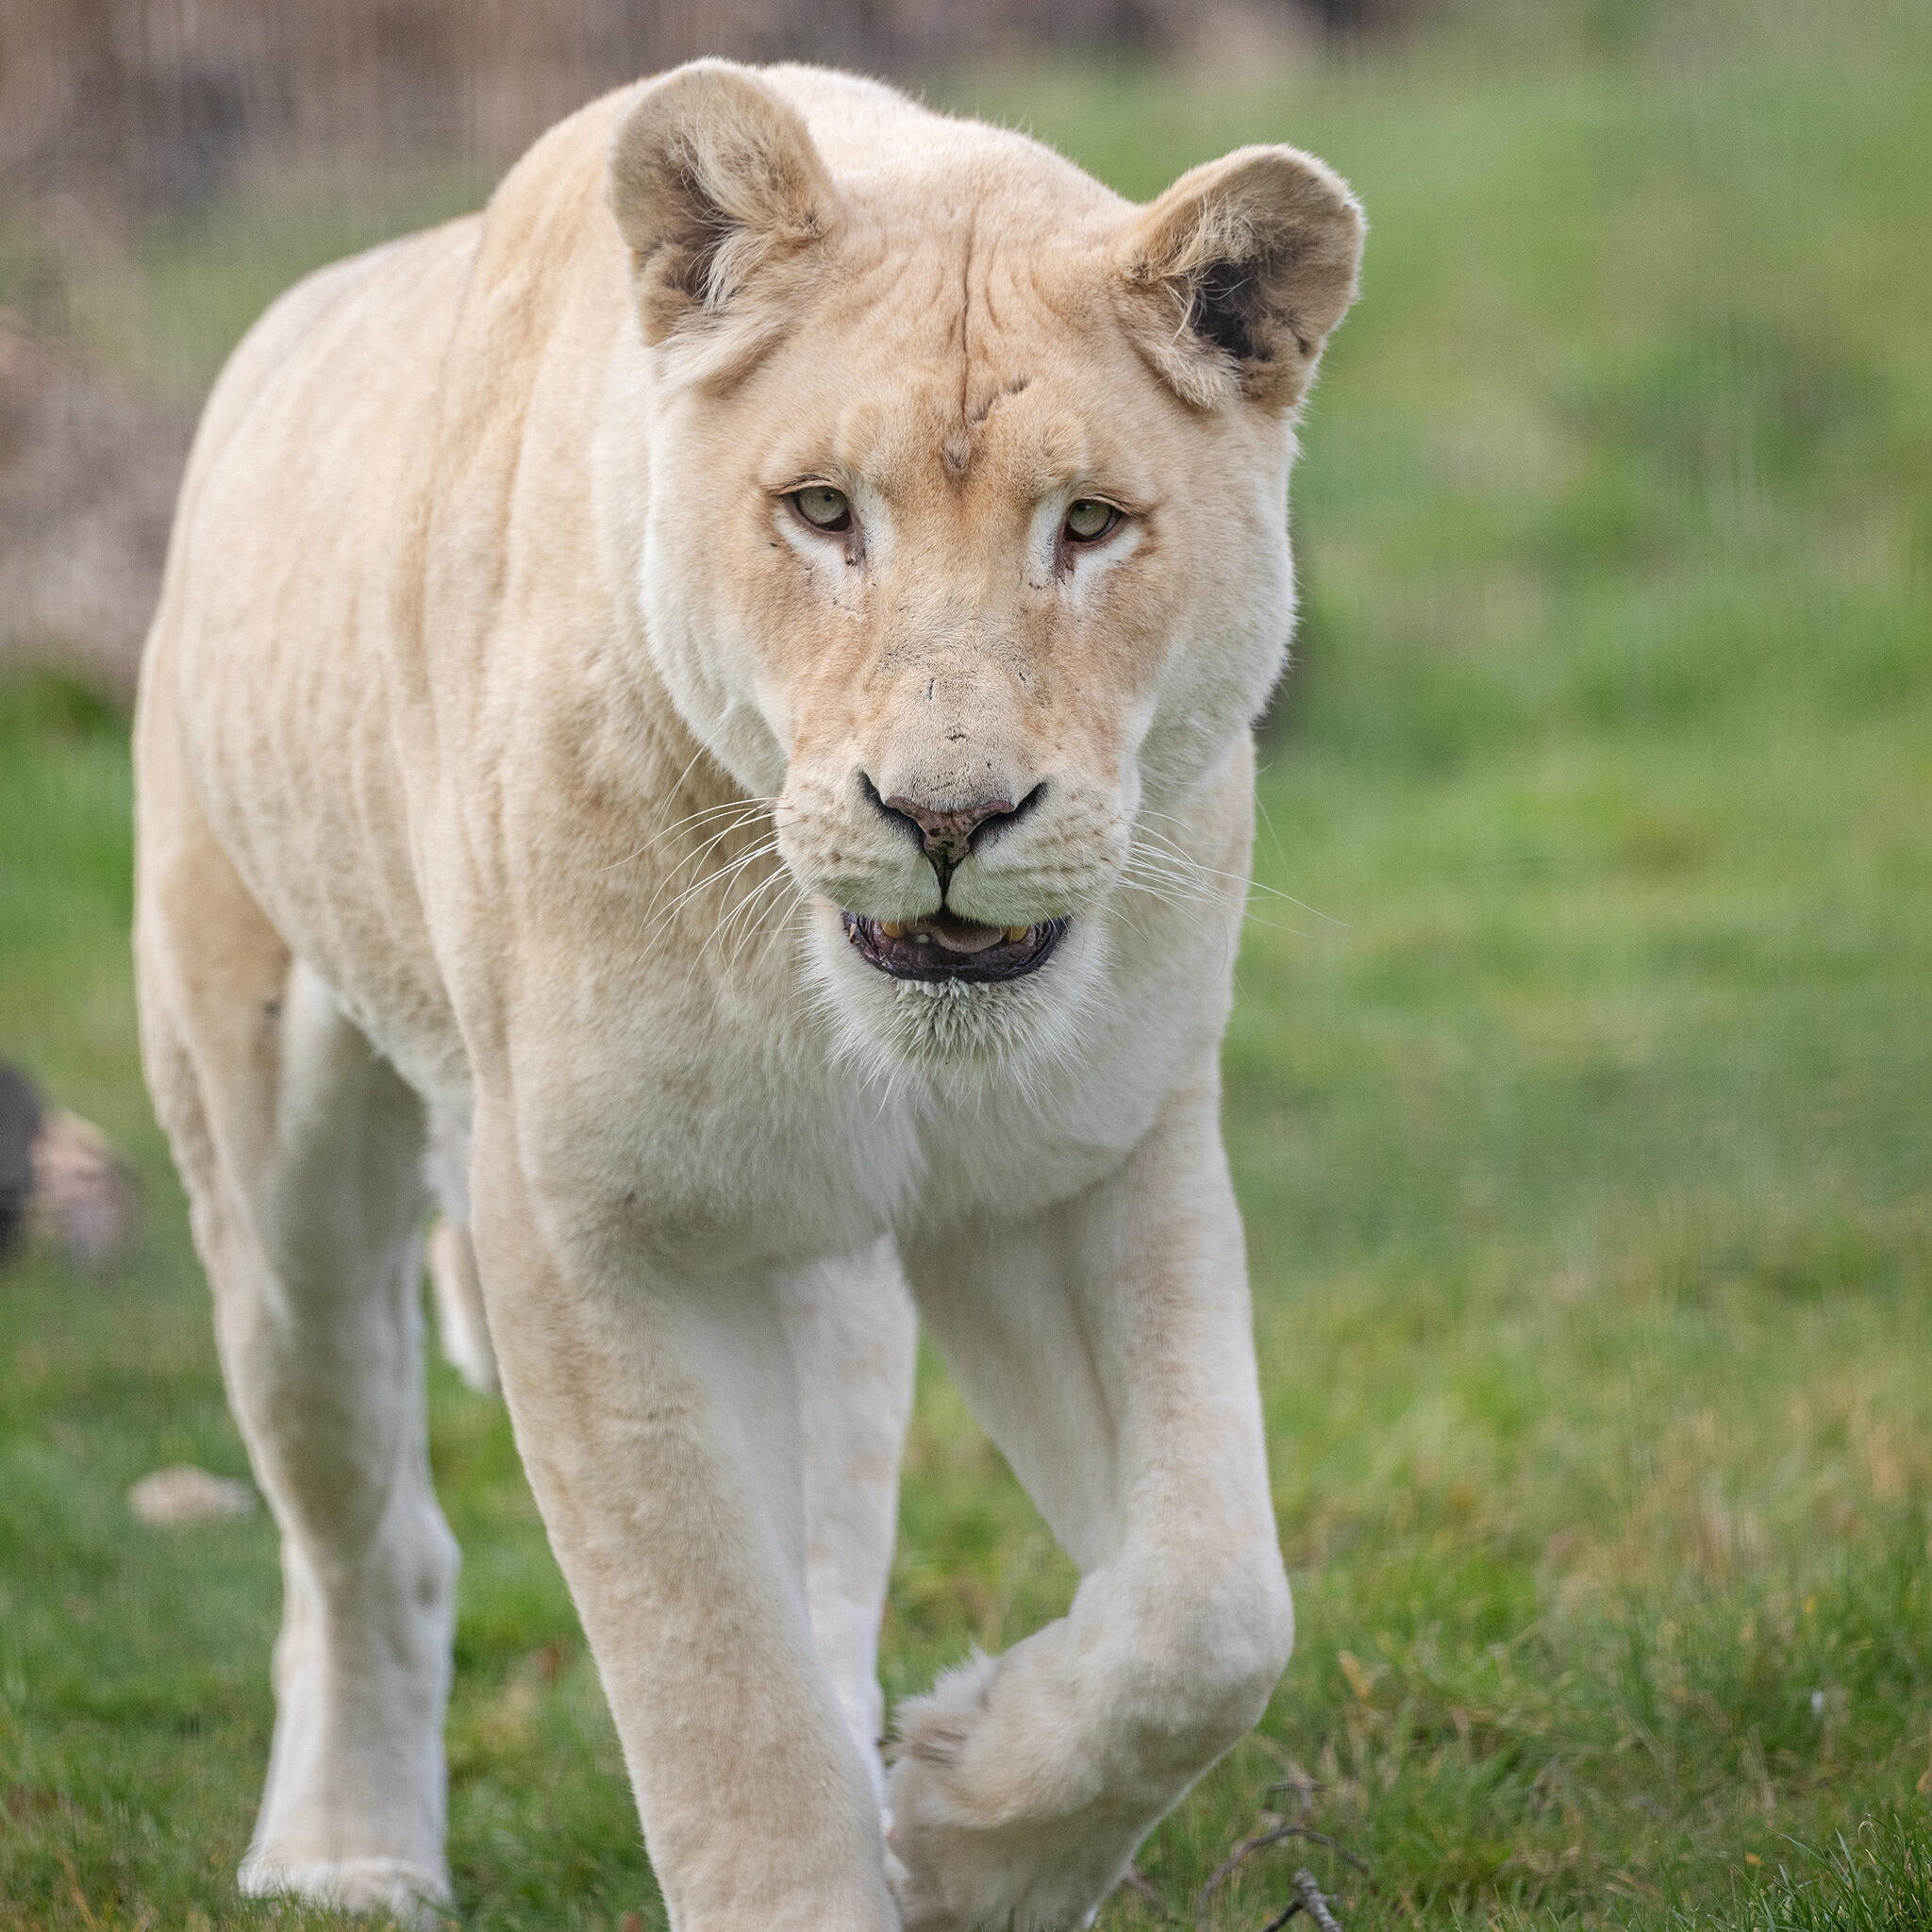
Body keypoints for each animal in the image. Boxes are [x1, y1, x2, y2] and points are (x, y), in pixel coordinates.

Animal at [132, 60, 1359, 1932]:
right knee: (365, 1524)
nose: (945, 817)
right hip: (274, 1169)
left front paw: (968, 1833)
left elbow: (1211, 1613)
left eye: (1087, 524)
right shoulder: (592, 1229)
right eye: (820, 511)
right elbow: (719, 1693)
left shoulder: (1087, 1159)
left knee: (834, 1556)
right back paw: (342, 1855)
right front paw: (877, 1844)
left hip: (814, 1261)